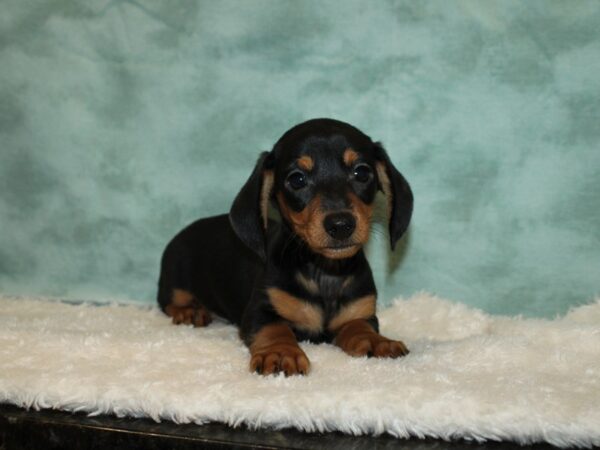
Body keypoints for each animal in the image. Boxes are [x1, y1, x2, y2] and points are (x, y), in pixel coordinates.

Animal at [157, 118, 414, 374]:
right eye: (297, 179)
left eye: (361, 172)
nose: (340, 225)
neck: (324, 272)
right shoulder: (259, 311)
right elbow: (275, 329)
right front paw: (280, 352)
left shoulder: (360, 313)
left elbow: (359, 327)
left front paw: (377, 341)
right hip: (175, 281)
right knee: (168, 302)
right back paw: (189, 311)